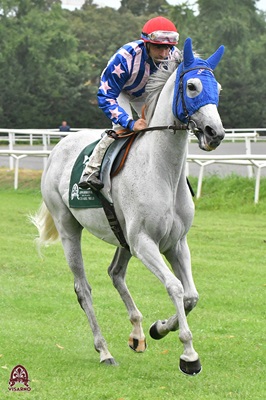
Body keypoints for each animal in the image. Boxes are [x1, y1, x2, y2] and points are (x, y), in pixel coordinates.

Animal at [31, 37, 224, 376]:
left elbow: (191, 296)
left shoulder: (175, 242)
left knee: (115, 273)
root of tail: (57, 148)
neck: (162, 170)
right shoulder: (144, 242)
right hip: (69, 227)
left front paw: (159, 328)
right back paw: (104, 350)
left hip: (122, 236)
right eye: (192, 86)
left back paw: (137, 333)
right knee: (83, 288)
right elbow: (175, 287)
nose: (216, 133)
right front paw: (189, 355)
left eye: (219, 88)